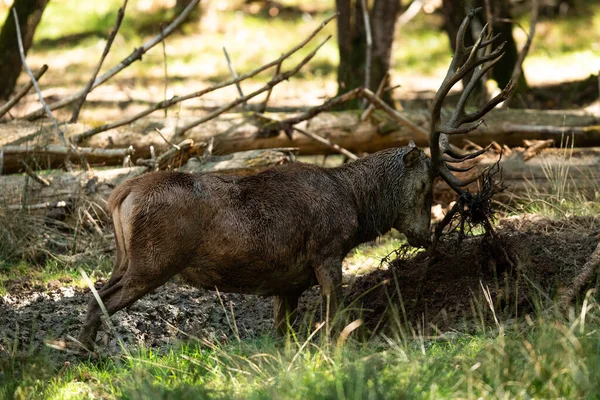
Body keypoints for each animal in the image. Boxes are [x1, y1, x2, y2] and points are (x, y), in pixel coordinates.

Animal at [76, 7, 516, 350]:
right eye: (426, 185)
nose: (425, 235)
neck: (356, 207)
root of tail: (120, 195)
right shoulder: (326, 249)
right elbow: (335, 317)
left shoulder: (286, 283)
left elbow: (282, 333)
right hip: (154, 260)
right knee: (100, 299)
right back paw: (85, 353)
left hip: (126, 259)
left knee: (98, 289)